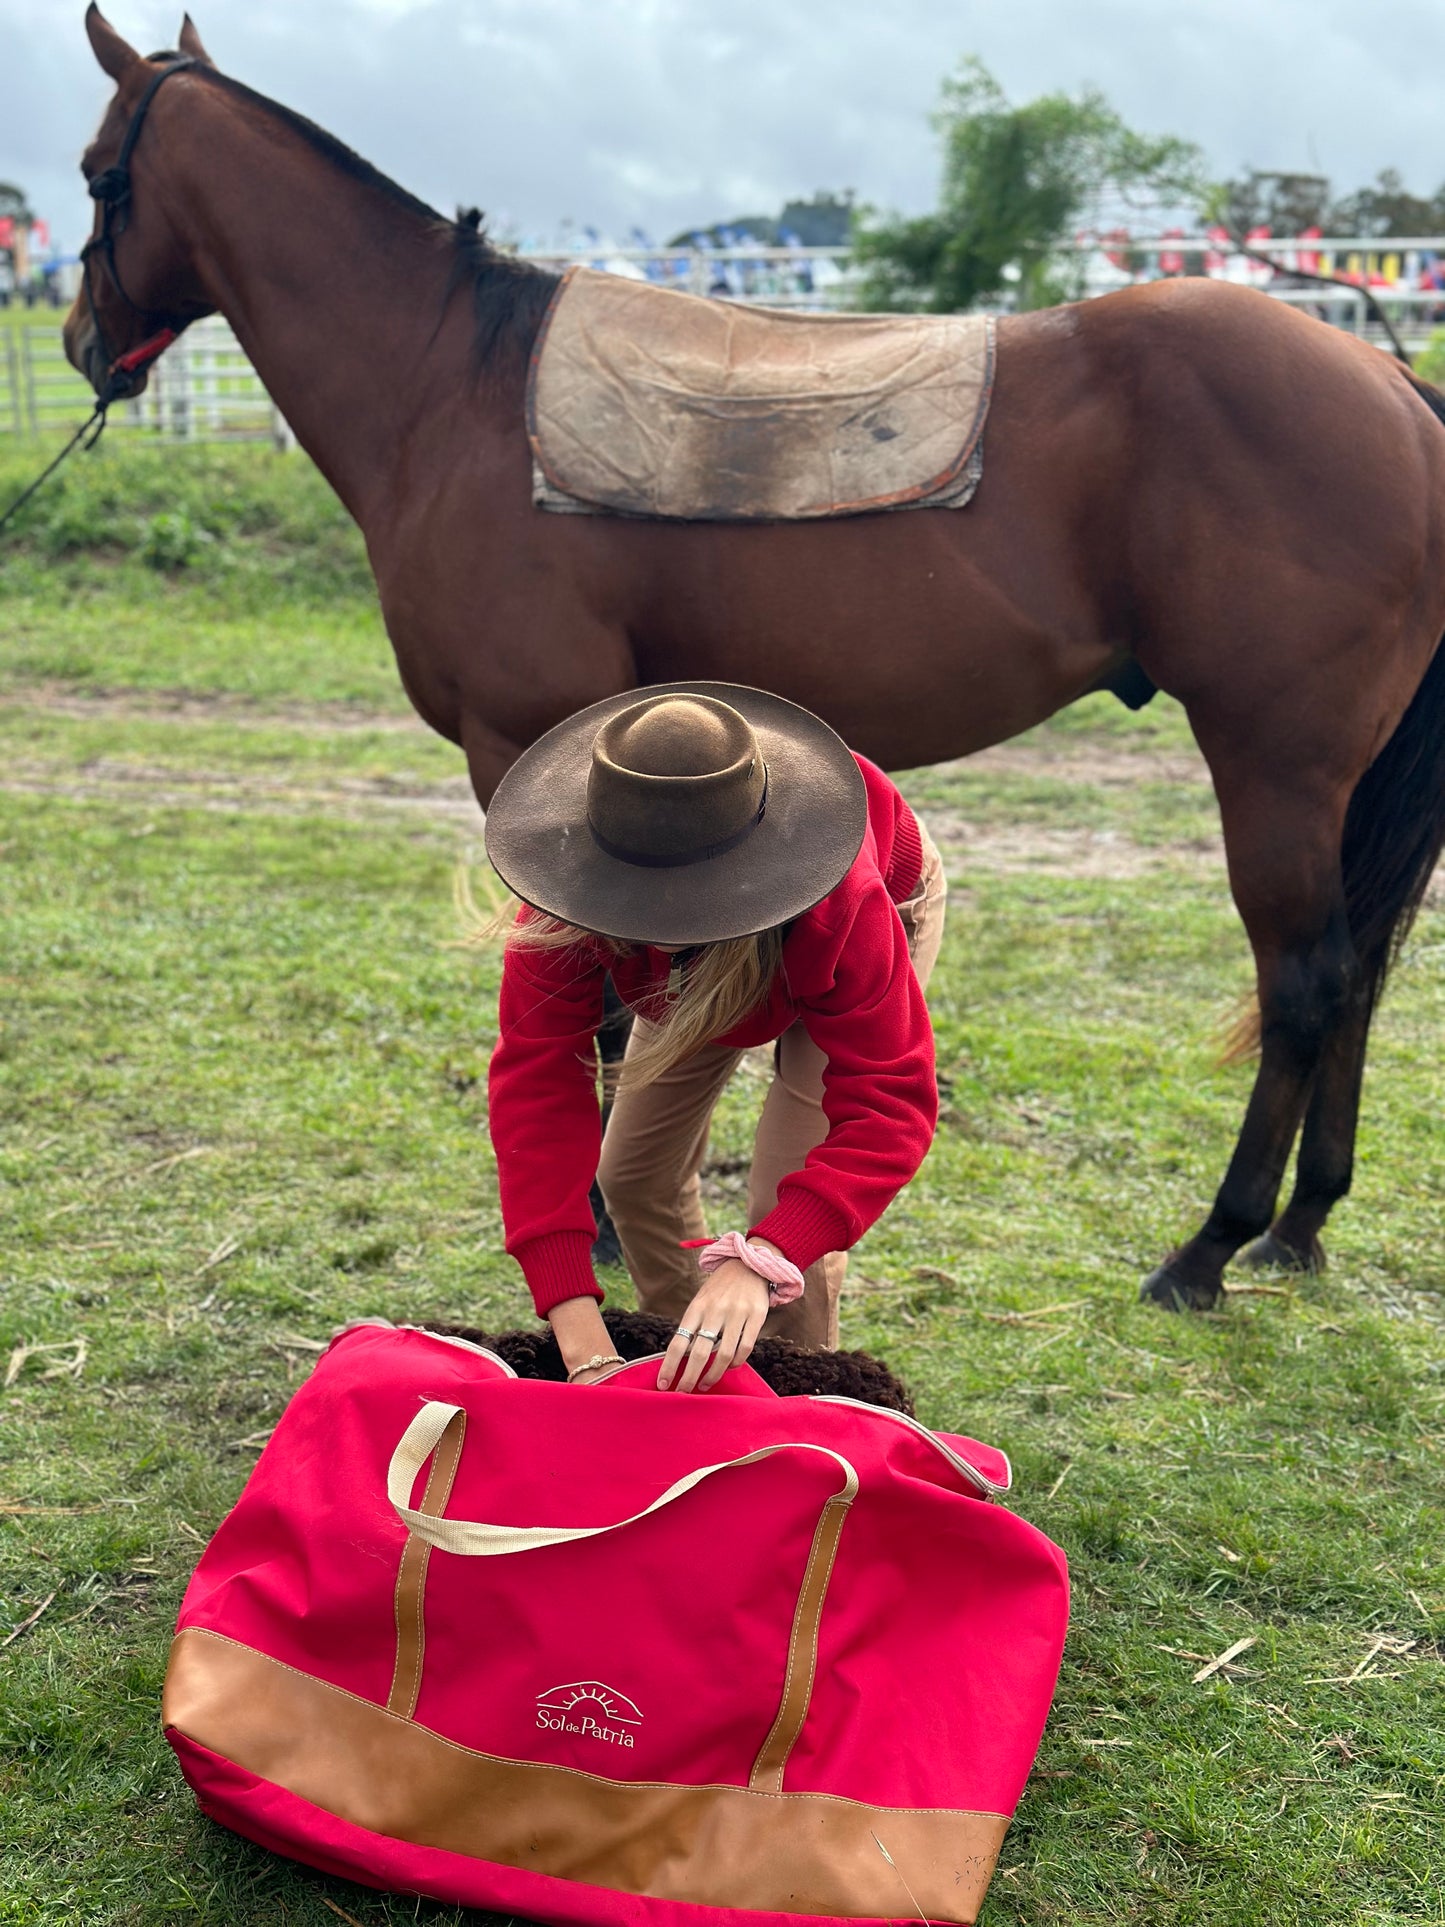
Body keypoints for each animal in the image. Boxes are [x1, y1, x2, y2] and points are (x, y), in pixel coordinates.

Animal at [65, 3, 1445, 1310]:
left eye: (95, 176)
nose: (80, 341)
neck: (453, 388)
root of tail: (1389, 382)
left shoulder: (523, 741)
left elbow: (594, 1002)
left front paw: (600, 1221)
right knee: (1357, 975)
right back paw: (1298, 1228)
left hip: (1273, 764)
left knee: (1307, 979)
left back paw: (1206, 1248)